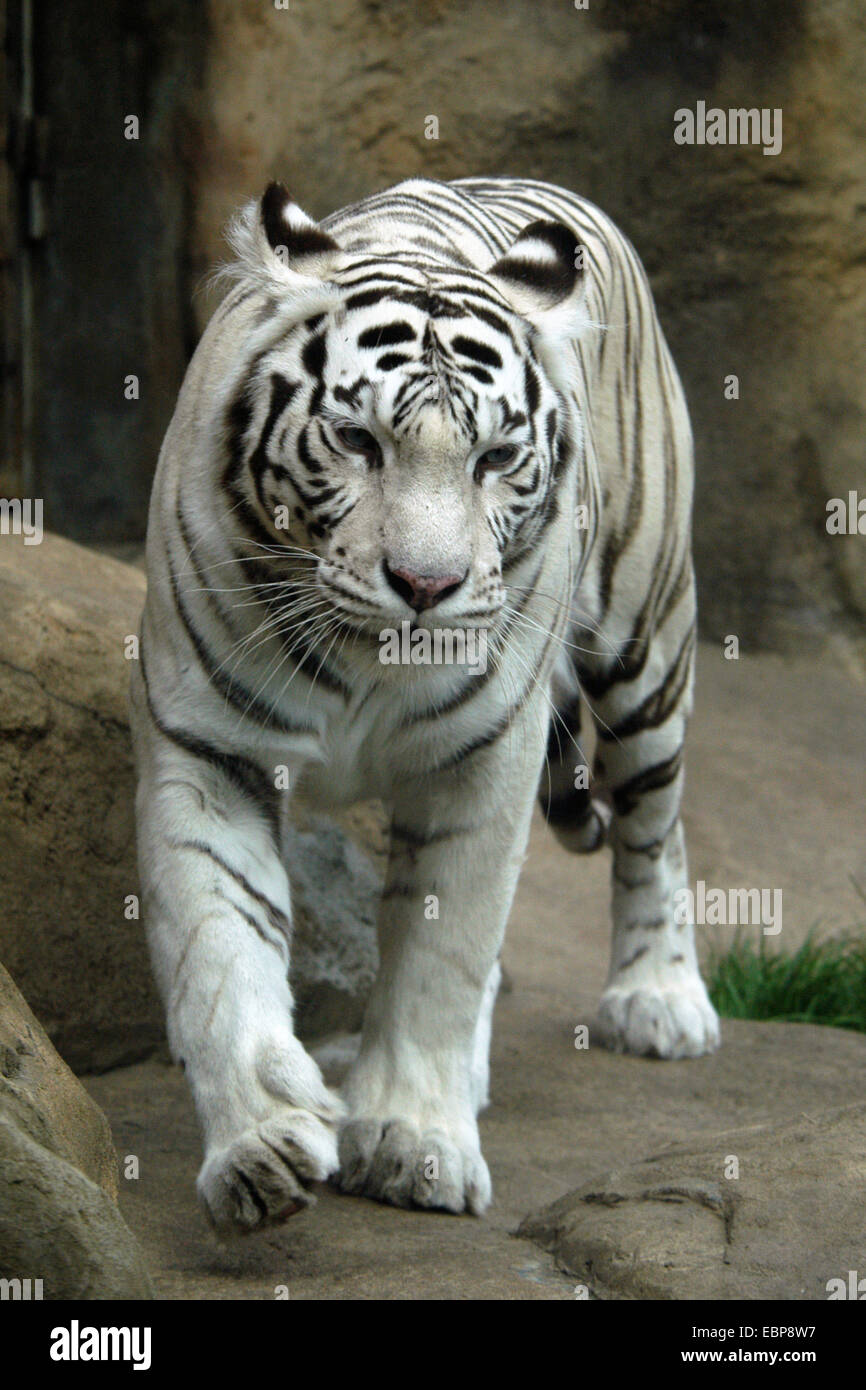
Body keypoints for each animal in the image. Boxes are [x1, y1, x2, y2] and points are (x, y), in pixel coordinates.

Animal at [130, 176, 717, 1239]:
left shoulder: (482, 759)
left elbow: (443, 955)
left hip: (646, 639)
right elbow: (218, 948)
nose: (426, 585)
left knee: (656, 821)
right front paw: (263, 1144)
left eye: (495, 457)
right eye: (357, 441)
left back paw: (659, 1000)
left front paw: (413, 1143)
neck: (361, 664)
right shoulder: (206, 747)